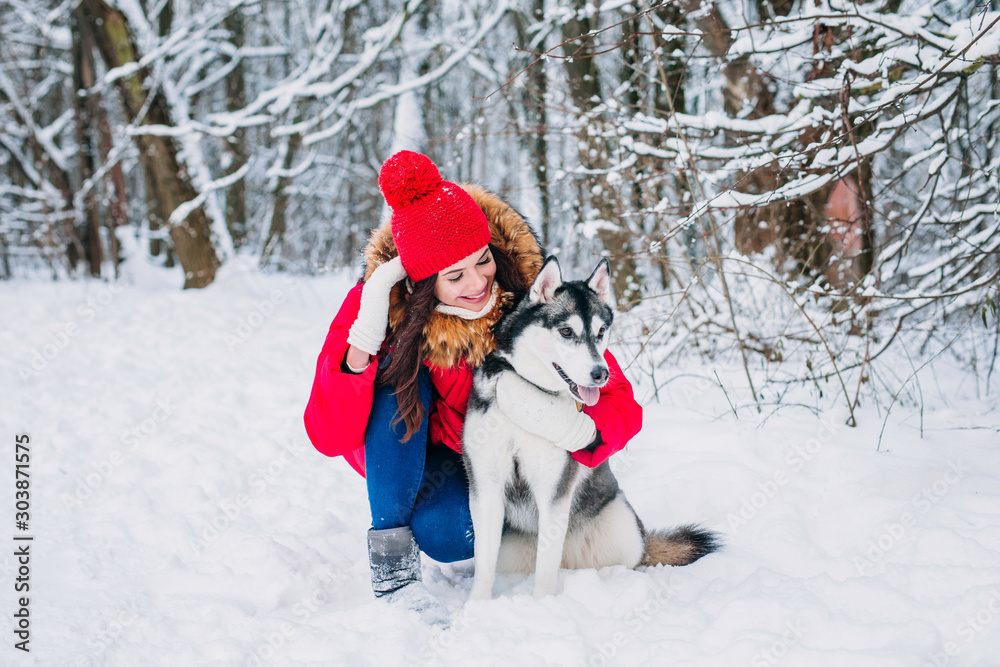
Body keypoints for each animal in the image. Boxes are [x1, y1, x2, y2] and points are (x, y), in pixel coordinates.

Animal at [462, 258, 720, 600]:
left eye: (601, 332)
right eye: (566, 331)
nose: (601, 373)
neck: (532, 389)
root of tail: (572, 560)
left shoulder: (554, 491)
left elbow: (545, 571)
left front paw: (541, 605)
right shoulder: (486, 486)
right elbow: (484, 565)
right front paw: (475, 606)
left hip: (624, 528)